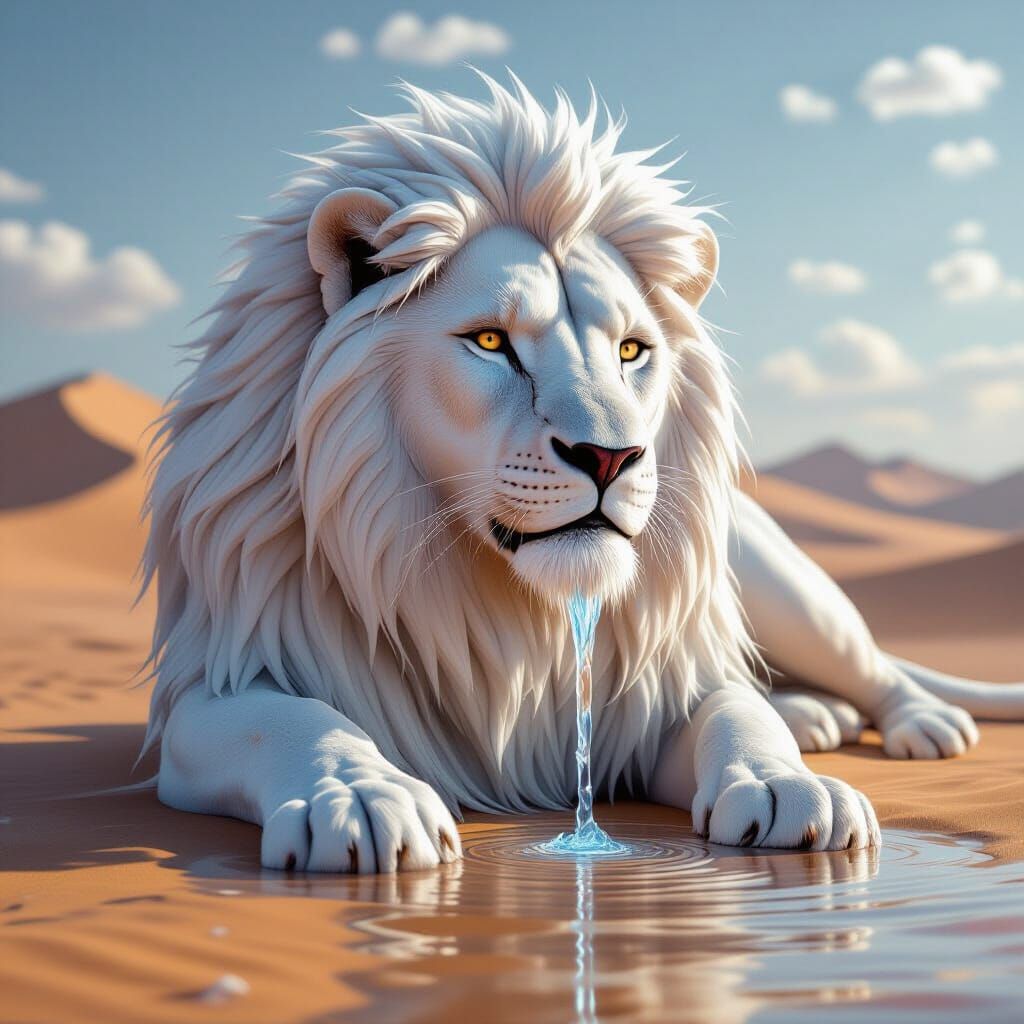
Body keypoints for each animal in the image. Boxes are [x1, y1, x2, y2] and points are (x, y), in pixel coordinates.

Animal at [143, 74, 1023, 873]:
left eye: (632, 350)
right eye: (490, 342)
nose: (612, 457)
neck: (502, 617)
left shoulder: (655, 700)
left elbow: (736, 711)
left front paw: (790, 787)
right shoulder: (215, 689)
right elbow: (295, 721)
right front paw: (360, 798)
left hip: (786, 589)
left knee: (866, 664)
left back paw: (915, 723)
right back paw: (817, 716)